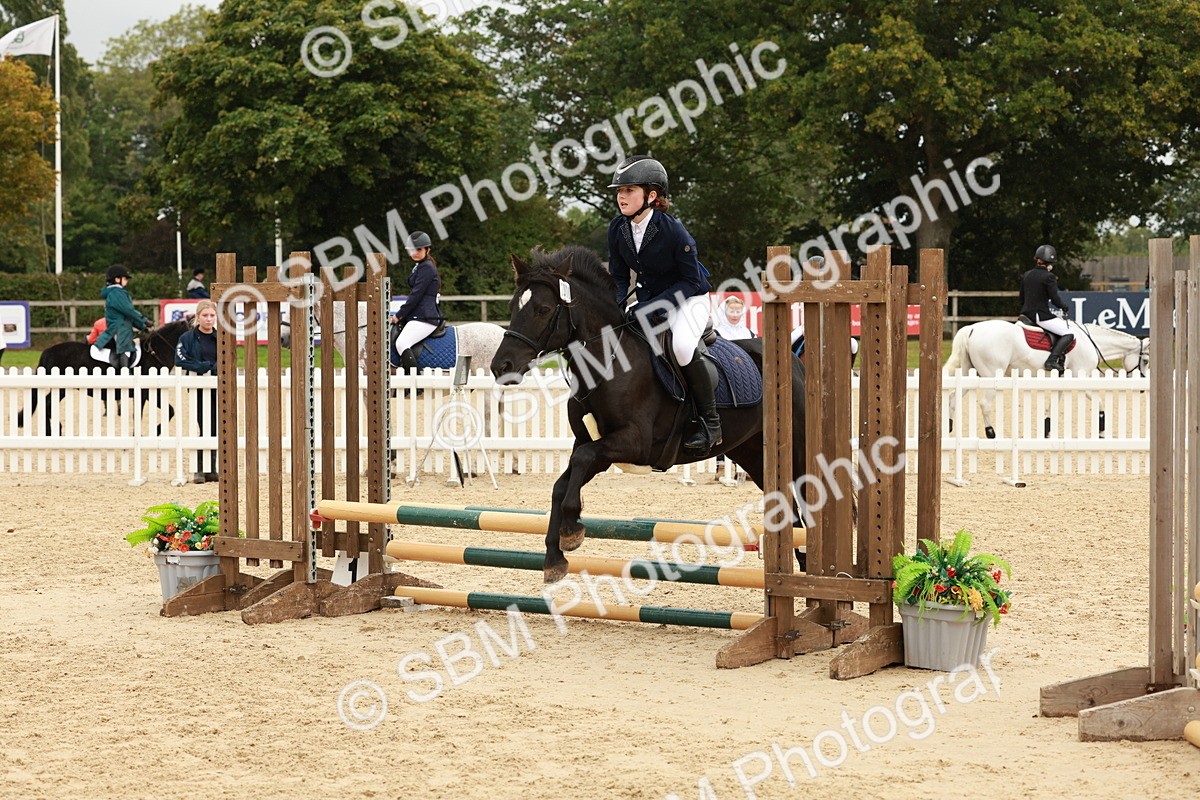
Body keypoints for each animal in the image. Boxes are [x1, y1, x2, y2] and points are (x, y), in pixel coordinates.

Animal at [16, 320, 189, 435]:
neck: (154, 354)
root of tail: (48, 351)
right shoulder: (145, 393)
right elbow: (144, 414)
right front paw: (148, 433)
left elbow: (170, 411)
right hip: (61, 387)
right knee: (46, 404)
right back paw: (53, 430)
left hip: (62, 389)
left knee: (46, 404)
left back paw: (53, 430)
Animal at [489, 245, 809, 583]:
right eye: (512, 306)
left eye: (543, 309)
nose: (501, 366)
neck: (607, 363)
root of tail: (793, 362)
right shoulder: (598, 446)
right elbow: (562, 483)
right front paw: (555, 556)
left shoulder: (634, 443)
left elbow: (581, 462)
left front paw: (571, 529)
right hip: (754, 454)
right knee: (790, 512)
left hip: (796, 451)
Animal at [944, 319, 1150, 439]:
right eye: (1146, 360)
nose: (1142, 387)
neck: (1090, 341)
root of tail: (972, 328)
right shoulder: (1080, 378)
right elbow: (1099, 403)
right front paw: (1101, 430)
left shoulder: (1061, 381)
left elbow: (1052, 407)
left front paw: (1047, 431)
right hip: (992, 376)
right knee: (985, 404)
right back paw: (991, 432)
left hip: (971, 373)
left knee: (953, 398)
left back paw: (949, 427)